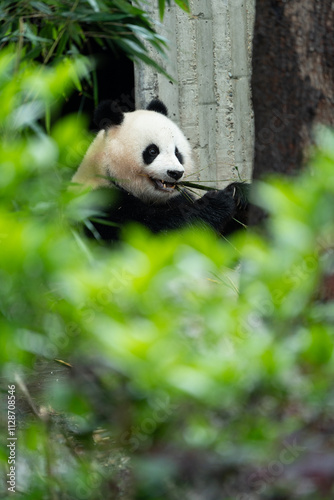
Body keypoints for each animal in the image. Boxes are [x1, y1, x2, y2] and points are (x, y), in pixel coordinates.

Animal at [72, 98, 248, 241]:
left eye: (177, 153)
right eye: (152, 151)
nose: (175, 173)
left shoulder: (177, 198)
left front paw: (240, 193)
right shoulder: (102, 206)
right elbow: (159, 233)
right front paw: (218, 200)